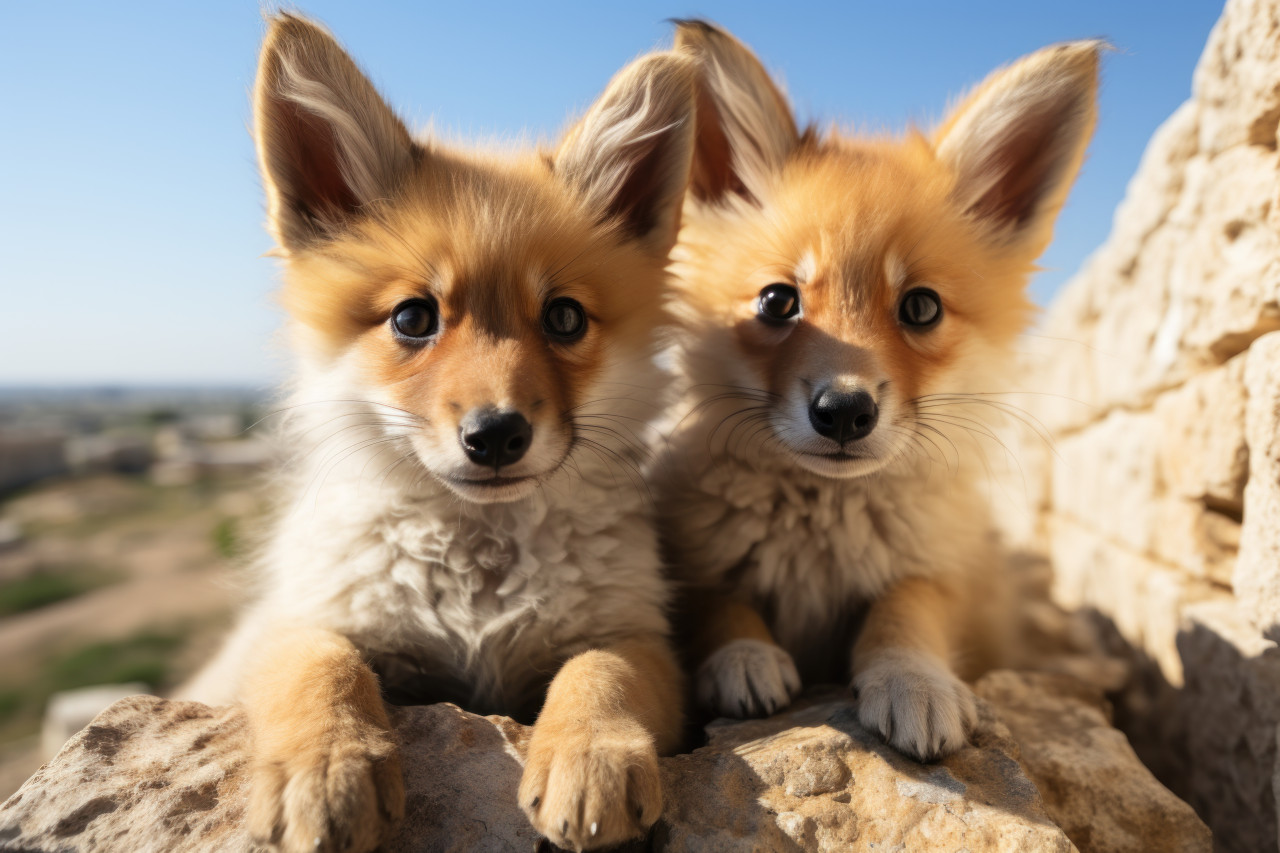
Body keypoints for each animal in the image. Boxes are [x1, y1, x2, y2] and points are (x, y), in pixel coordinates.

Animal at [179, 13, 697, 852]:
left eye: (564, 318)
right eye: (414, 318)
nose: (497, 434)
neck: (476, 575)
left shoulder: (636, 633)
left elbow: (599, 672)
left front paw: (589, 752)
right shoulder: (309, 619)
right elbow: (320, 663)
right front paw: (325, 764)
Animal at [658, 21, 1100, 761]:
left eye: (920, 308)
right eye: (778, 301)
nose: (844, 411)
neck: (823, 531)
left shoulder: (944, 571)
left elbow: (906, 609)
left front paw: (912, 681)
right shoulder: (694, 562)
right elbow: (722, 602)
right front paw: (743, 654)